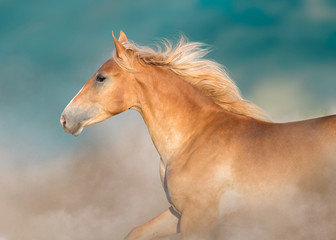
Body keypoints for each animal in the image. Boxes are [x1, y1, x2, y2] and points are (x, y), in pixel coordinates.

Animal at [60, 31, 336, 239]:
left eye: (101, 78)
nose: (65, 118)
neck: (192, 139)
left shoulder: (198, 219)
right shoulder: (178, 213)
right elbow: (135, 232)